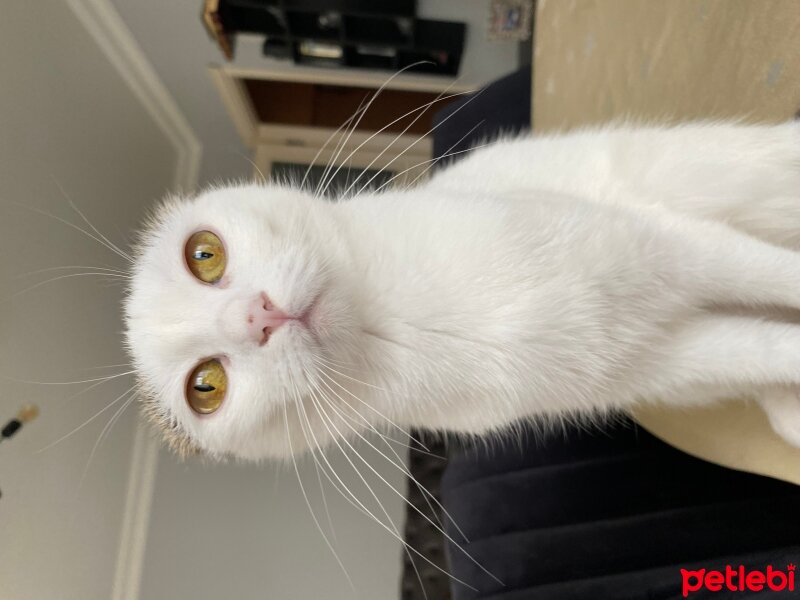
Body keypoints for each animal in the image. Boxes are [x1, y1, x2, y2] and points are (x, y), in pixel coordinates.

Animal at [123, 120, 800, 460]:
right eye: (206, 385)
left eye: (204, 254)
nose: (256, 317)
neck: (393, 316)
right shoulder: (663, 357)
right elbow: (769, 348)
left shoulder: (668, 246)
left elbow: (771, 272)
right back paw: (787, 410)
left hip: (719, 174)